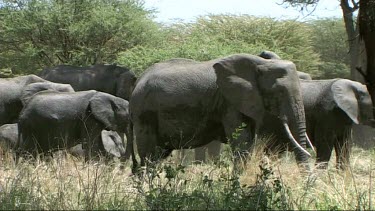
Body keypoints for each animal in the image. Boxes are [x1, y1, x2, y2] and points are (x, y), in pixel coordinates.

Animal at [131, 53, 312, 169]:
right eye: (279, 91)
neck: (261, 63)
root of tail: (138, 82)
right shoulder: (229, 102)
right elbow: (242, 143)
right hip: (144, 114)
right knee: (148, 156)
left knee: (158, 155)